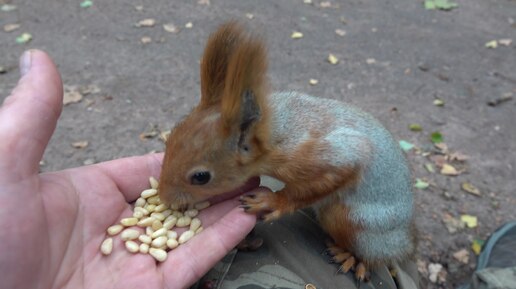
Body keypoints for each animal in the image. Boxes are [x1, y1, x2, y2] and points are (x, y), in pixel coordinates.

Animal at [157, 21, 416, 280]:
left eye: (201, 177)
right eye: (169, 140)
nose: (164, 197)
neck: (277, 135)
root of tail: (406, 242)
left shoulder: (326, 157)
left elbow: (316, 184)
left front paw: (271, 201)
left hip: (356, 221)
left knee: (377, 255)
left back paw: (355, 258)